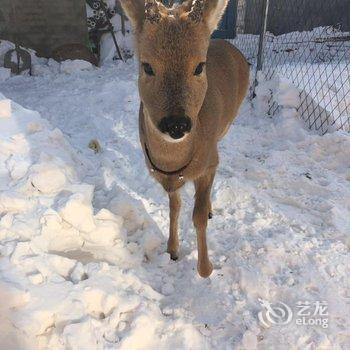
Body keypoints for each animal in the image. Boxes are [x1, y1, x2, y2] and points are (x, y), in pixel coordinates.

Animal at [120, 0, 249, 278]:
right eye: (147, 66)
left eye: (199, 66)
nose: (176, 123)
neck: (173, 164)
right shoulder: (167, 179)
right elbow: (174, 207)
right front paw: (172, 250)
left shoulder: (209, 163)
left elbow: (197, 215)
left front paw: (205, 269)